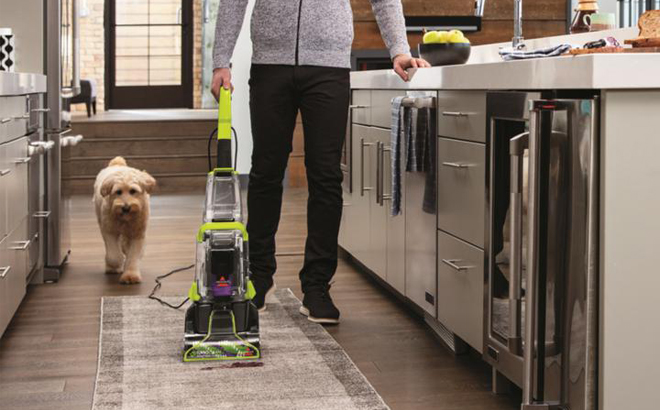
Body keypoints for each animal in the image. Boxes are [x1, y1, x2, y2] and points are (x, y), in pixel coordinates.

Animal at [93, 157, 156, 286]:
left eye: (133, 191)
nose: (126, 207)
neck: (125, 219)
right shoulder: (109, 230)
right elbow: (113, 255)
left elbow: (133, 256)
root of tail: (117, 164)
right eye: (118, 192)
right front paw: (116, 264)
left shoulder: (137, 234)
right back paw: (112, 267)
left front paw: (131, 275)